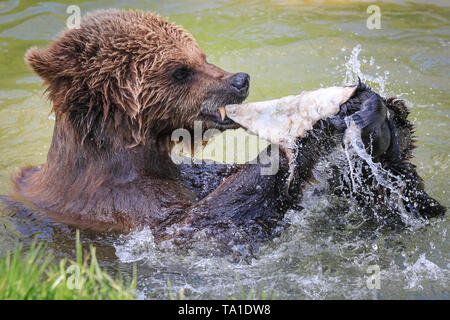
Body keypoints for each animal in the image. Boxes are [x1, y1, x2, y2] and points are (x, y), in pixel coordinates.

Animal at [10, 9, 442, 255]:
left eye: (201, 54)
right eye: (180, 70)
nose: (240, 79)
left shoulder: (192, 174)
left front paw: (383, 116)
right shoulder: (120, 204)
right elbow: (199, 227)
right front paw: (315, 126)